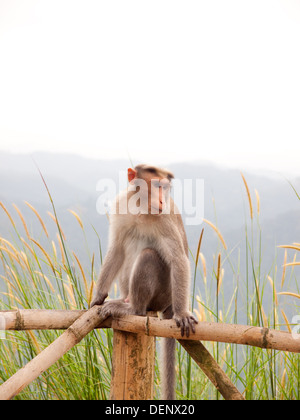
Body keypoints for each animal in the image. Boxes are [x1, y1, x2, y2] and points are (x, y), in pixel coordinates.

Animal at [91, 162, 199, 398]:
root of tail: (169, 303)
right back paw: (124, 301)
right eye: (157, 185)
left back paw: (134, 309)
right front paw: (97, 298)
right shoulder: (121, 206)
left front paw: (182, 314)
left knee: (148, 255)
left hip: (162, 293)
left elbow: (178, 259)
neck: (141, 207)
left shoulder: (164, 216)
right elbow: (117, 249)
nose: (162, 199)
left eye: (165, 188)